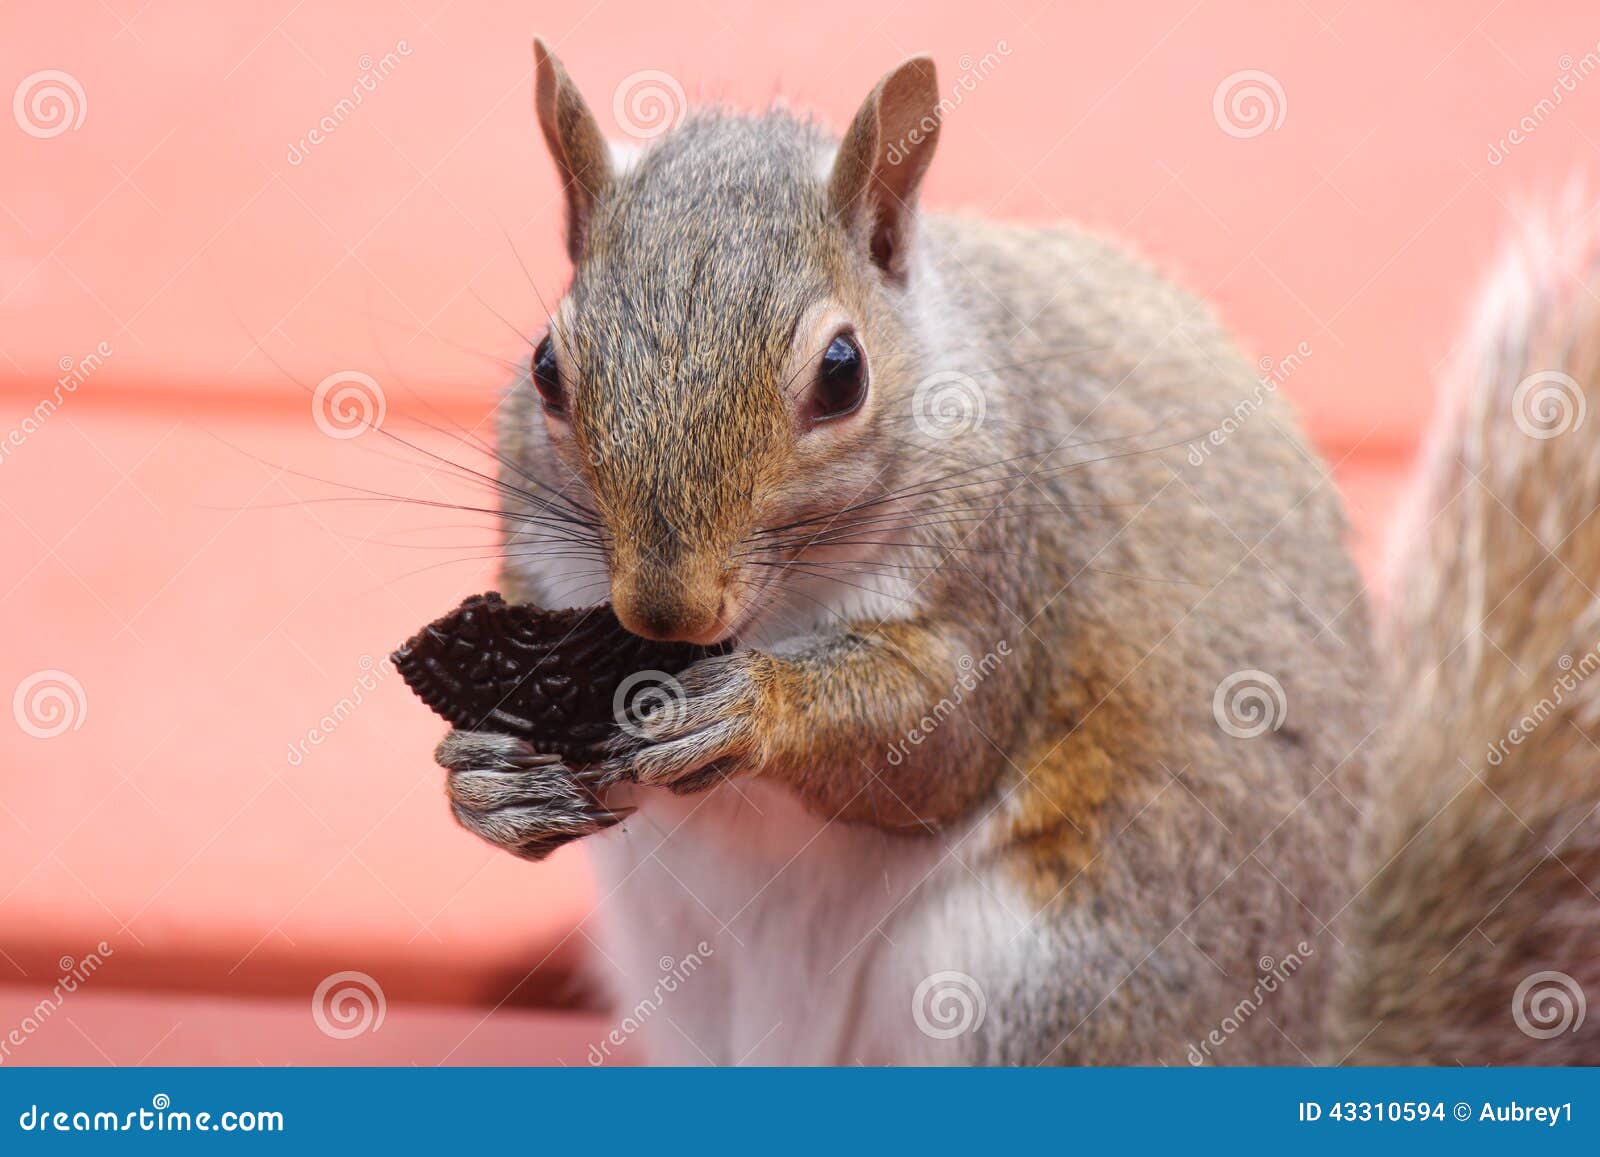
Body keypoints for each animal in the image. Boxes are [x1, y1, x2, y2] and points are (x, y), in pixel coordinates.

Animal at [433, 43, 1600, 1064]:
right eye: (546, 367)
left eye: (843, 373)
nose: (664, 614)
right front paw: (487, 782)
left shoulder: (1003, 564)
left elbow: (938, 744)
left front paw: (752, 706)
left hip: (1031, 981)